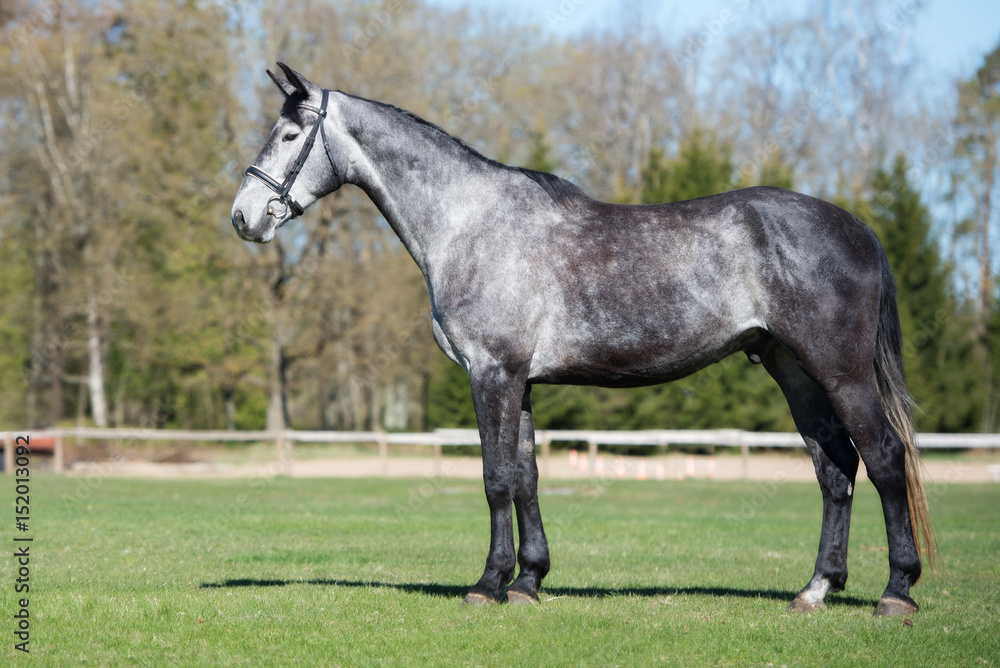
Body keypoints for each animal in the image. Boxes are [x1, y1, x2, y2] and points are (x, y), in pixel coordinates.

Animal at [230, 64, 932, 616]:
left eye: (289, 134)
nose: (243, 217)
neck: (471, 223)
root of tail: (857, 227)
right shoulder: (521, 382)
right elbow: (526, 477)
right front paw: (528, 581)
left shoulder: (492, 373)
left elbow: (494, 478)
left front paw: (487, 584)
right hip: (793, 370)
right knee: (834, 470)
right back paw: (816, 589)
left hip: (840, 372)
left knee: (884, 458)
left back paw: (896, 592)